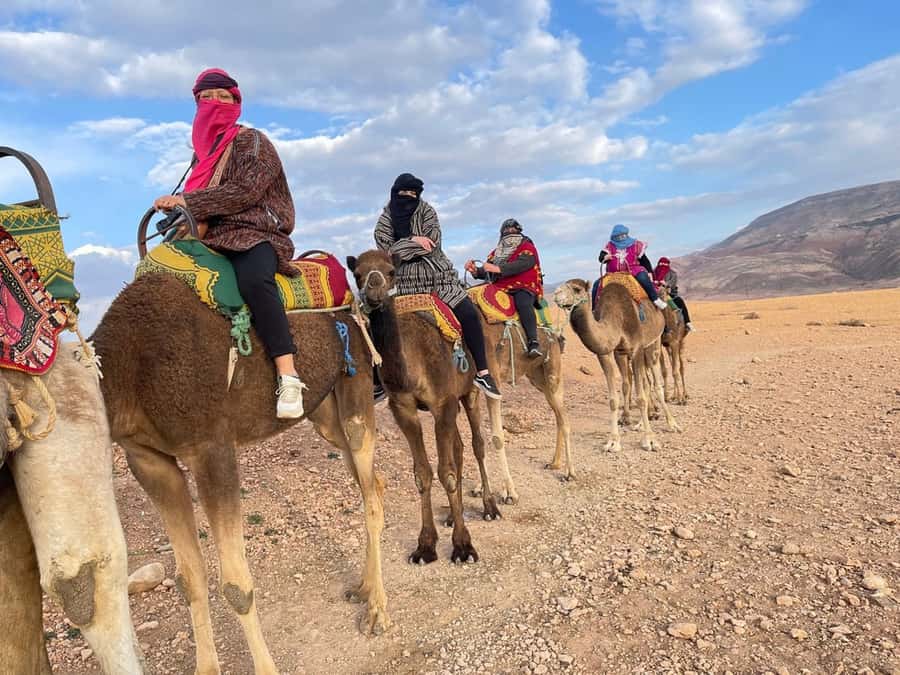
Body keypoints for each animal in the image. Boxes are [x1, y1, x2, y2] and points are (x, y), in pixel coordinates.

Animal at [91, 273, 389, 675]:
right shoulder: (147, 459)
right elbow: (188, 578)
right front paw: (205, 668)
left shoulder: (212, 448)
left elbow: (236, 586)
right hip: (323, 409)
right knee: (371, 481)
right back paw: (363, 588)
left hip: (355, 376)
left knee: (368, 487)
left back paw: (377, 611)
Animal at [348, 250, 496, 565]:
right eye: (358, 274)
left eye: (391, 271)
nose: (374, 293)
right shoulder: (404, 409)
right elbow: (423, 474)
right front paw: (425, 546)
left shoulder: (443, 403)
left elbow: (446, 472)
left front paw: (463, 546)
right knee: (459, 448)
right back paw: (454, 515)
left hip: (469, 392)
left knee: (477, 445)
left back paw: (490, 506)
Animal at [553, 279, 680, 451]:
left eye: (577, 289)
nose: (556, 294)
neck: (617, 319)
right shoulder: (609, 352)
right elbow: (614, 399)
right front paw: (613, 441)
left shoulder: (637, 348)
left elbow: (640, 397)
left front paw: (650, 440)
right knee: (645, 383)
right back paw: (641, 423)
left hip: (653, 343)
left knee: (656, 384)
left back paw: (672, 423)